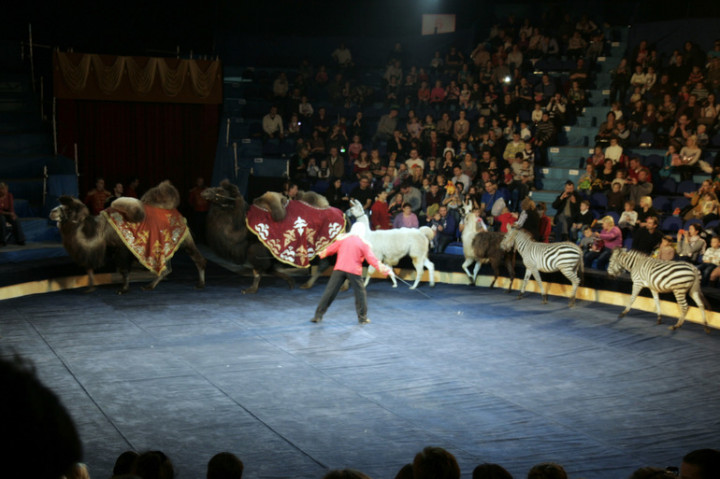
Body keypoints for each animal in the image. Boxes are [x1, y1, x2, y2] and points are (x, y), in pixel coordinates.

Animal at [48, 180, 205, 292]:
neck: (100, 230)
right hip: (166, 245)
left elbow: (123, 269)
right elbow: (90, 267)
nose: (52, 212)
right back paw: (149, 286)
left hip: (184, 239)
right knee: (167, 268)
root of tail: (178, 213)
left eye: (68, 209)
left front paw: (124, 289)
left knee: (197, 258)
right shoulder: (105, 249)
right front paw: (90, 287)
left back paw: (200, 283)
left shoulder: (122, 247)